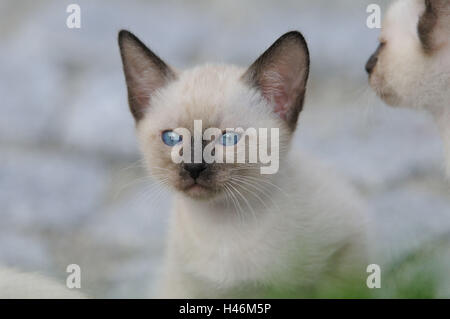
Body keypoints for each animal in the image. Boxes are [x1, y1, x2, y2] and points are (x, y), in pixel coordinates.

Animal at [119, 30, 370, 300]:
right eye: (172, 138)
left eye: (228, 139)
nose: (194, 166)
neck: (221, 228)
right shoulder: (188, 288)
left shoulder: (340, 255)